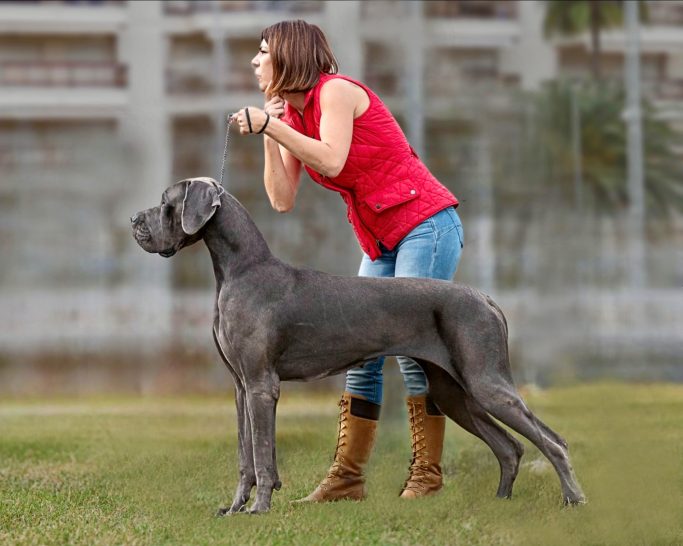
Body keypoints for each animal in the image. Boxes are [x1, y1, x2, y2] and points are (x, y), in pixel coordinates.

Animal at [131, 176, 584, 512]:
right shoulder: (241, 387)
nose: (134, 218)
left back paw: (573, 499)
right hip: (453, 390)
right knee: (509, 447)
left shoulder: (262, 385)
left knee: (553, 442)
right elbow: (246, 457)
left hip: (485, 381)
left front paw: (259, 509)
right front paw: (235, 508)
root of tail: (486, 298)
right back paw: (501, 501)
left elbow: (261, 453)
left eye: (165, 202)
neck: (241, 270)